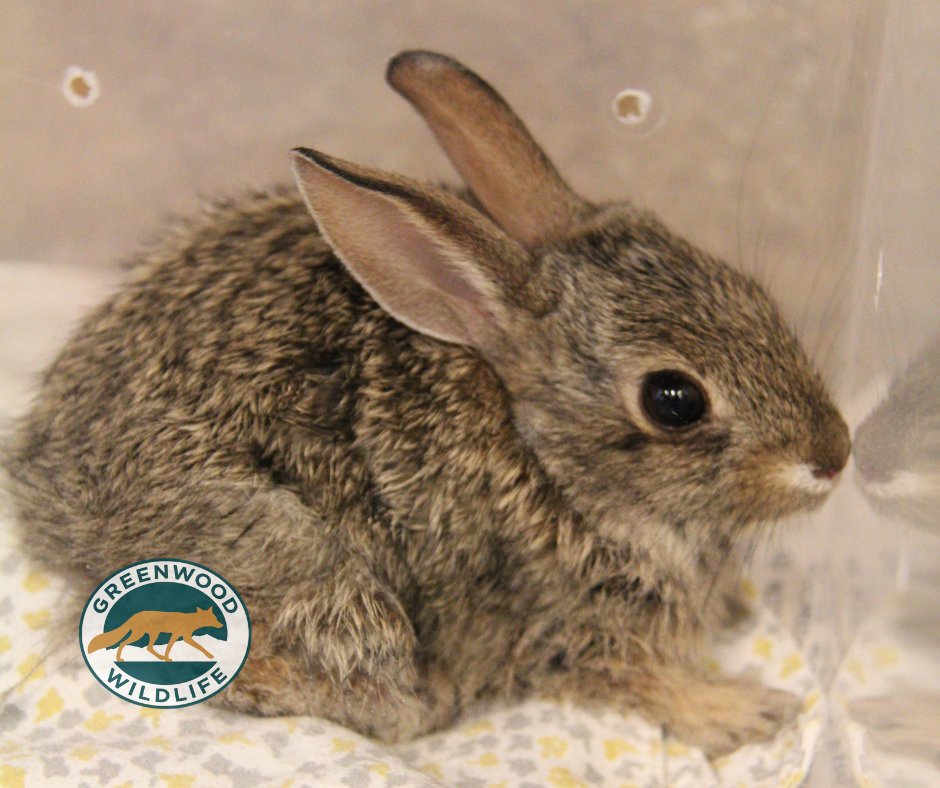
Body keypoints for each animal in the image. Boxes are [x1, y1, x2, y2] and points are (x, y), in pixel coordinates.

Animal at [3, 50, 850, 758]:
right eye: (673, 401)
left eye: (753, 293)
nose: (835, 455)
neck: (545, 457)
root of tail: (54, 512)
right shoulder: (564, 627)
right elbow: (636, 679)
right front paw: (747, 711)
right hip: (318, 575)